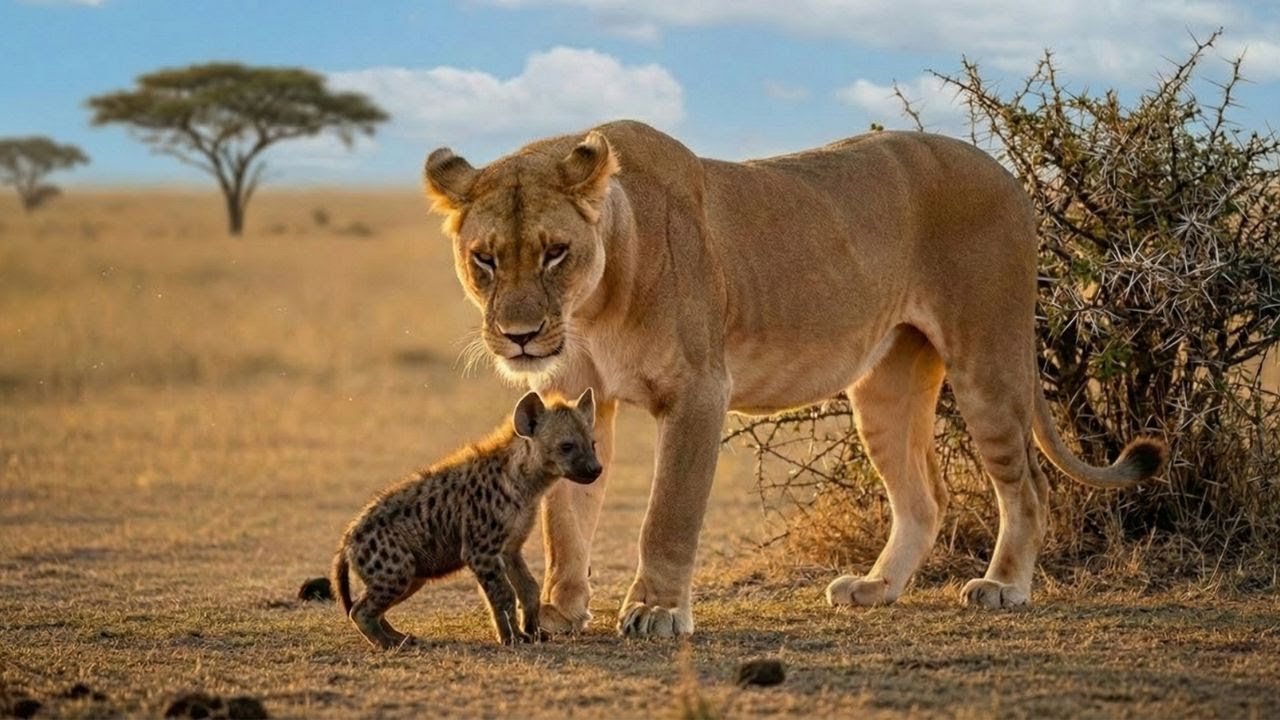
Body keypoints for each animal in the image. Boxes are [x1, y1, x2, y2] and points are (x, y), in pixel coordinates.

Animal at [421, 120, 1167, 638]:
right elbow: (566, 521)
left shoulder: (699, 391)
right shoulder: (577, 400)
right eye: (485, 259)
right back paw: (875, 589)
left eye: (555, 253)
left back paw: (1003, 586)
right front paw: (559, 611)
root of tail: (1008, 174)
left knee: (1028, 486)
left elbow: (667, 516)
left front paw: (657, 612)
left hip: (987, 357)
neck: (593, 307)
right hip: (884, 387)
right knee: (924, 499)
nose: (520, 336)